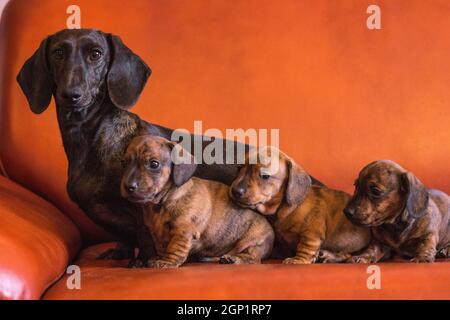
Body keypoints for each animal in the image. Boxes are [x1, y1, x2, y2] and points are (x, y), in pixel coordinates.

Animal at [119, 134, 274, 268]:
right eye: (124, 163)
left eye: (154, 164)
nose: (128, 186)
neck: (163, 201)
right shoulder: (156, 233)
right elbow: (160, 246)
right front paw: (157, 257)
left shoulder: (183, 231)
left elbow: (174, 248)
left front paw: (167, 262)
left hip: (253, 244)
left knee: (252, 258)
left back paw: (234, 259)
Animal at [230, 146, 370, 264]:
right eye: (239, 168)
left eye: (264, 176)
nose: (235, 191)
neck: (283, 208)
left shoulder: (312, 233)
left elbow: (305, 247)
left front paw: (298, 260)